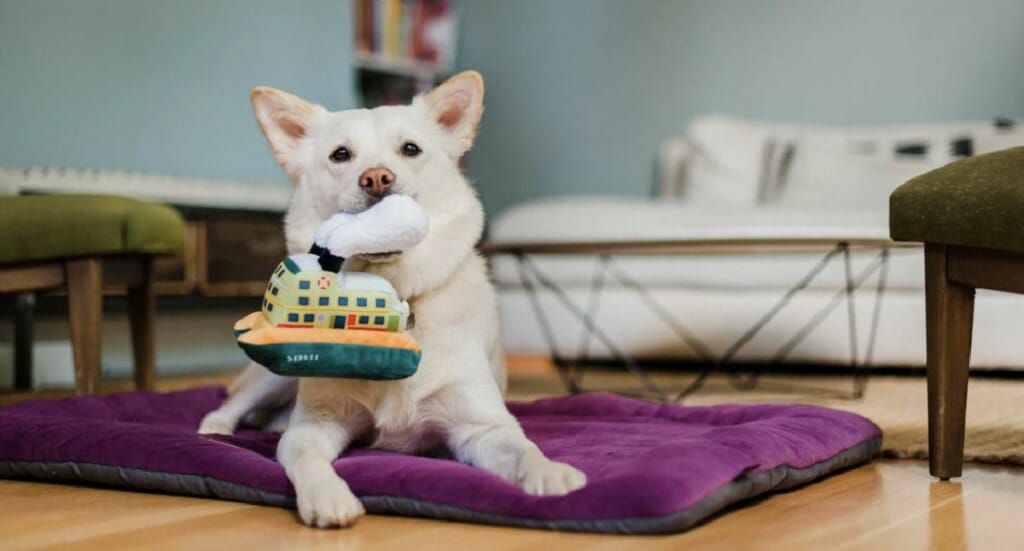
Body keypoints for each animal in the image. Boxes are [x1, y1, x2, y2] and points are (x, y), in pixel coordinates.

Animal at [196, 70, 589, 524]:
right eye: (341, 154)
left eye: (410, 149)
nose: (377, 178)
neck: (395, 293)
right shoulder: (315, 424)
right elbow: (305, 457)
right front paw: (328, 496)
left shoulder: (481, 426)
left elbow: (524, 449)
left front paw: (551, 473)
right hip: (276, 372)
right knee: (235, 403)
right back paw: (216, 430)